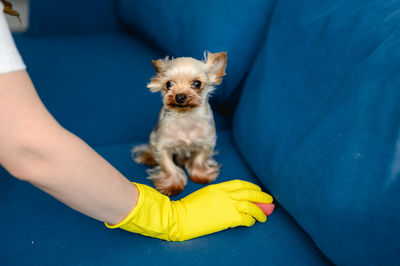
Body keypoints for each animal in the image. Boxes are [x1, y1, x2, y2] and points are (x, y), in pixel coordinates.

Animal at [133, 51, 227, 195]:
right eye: (169, 84)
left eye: (197, 83)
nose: (180, 96)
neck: (185, 118)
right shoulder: (162, 146)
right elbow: (169, 167)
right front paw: (172, 185)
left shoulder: (207, 142)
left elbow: (200, 160)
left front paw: (201, 175)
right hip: (153, 136)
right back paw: (149, 157)